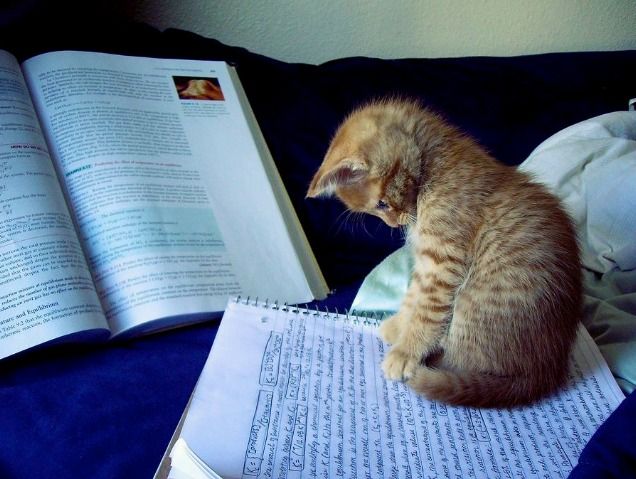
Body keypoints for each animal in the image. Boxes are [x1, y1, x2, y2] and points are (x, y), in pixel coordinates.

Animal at [308, 99, 580, 406]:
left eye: (381, 204)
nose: (395, 224)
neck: (434, 168)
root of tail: (544, 372)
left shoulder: (442, 262)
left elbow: (426, 310)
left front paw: (405, 353)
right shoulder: (425, 263)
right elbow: (413, 295)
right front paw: (399, 327)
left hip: (470, 308)